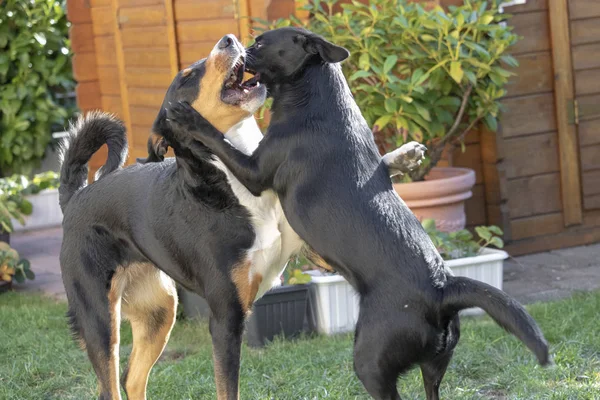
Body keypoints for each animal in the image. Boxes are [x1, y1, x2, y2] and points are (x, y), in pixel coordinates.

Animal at [166, 28, 552, 400]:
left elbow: (219, 141)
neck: (317, 96)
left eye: (260, 43)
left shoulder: (255, 172)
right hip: (435, 366)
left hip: (370, 359)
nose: (235, 44)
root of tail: (442, 289)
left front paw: (190, 118)